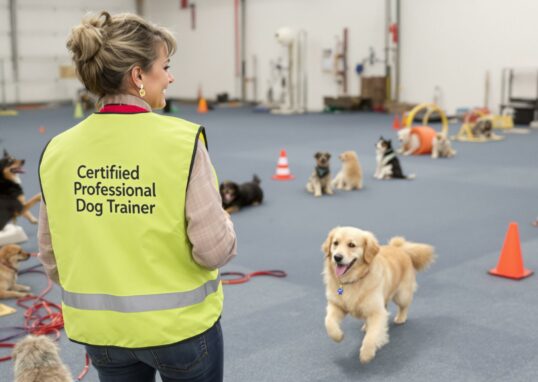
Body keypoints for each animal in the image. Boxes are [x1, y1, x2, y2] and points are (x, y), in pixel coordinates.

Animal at [320, 227, 434, 364]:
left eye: (351, 245)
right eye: (335, 243)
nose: (337, 257)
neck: (353, 280)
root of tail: (400, 248)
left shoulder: (376, 312)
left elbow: (372, 335)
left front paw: (367, 353)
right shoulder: (336, 305)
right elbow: (328, 322)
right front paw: (338, 336)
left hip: (401, 295)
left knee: (404, 306)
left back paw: (400, 318)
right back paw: (365, 326)